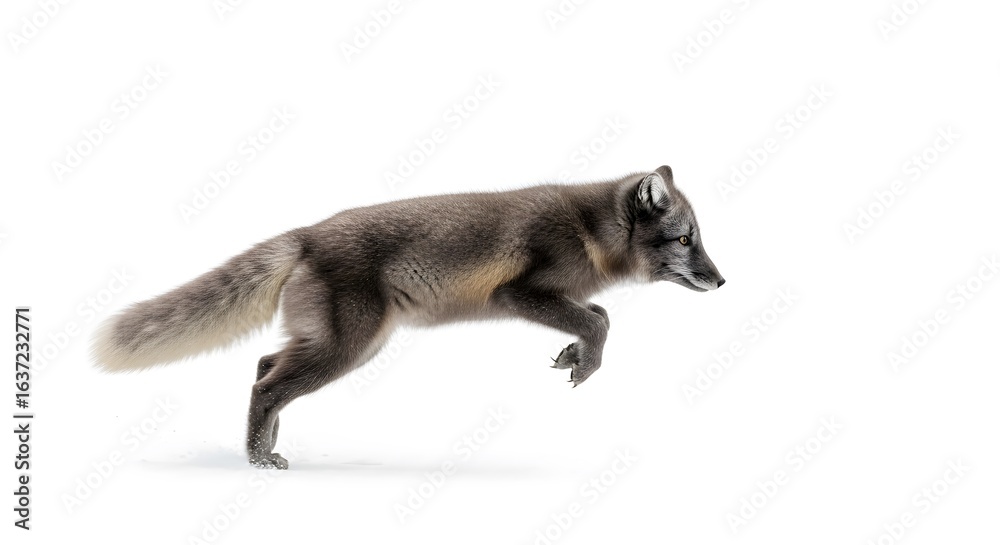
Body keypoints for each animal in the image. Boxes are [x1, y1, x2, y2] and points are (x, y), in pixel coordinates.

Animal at [92, 165, 725, 469]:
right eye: (686, 239)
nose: (722, 281)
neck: (587, 228)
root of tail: (307, 234)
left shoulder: (555, 296)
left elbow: (597, 314)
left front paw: (576, 356)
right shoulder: (516, 295)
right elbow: (598, 320)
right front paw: (586, 359)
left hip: (340, 344)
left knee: (264, 365)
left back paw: (263, 447)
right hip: (346, 349)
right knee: (266, 386)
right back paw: (256, 460)